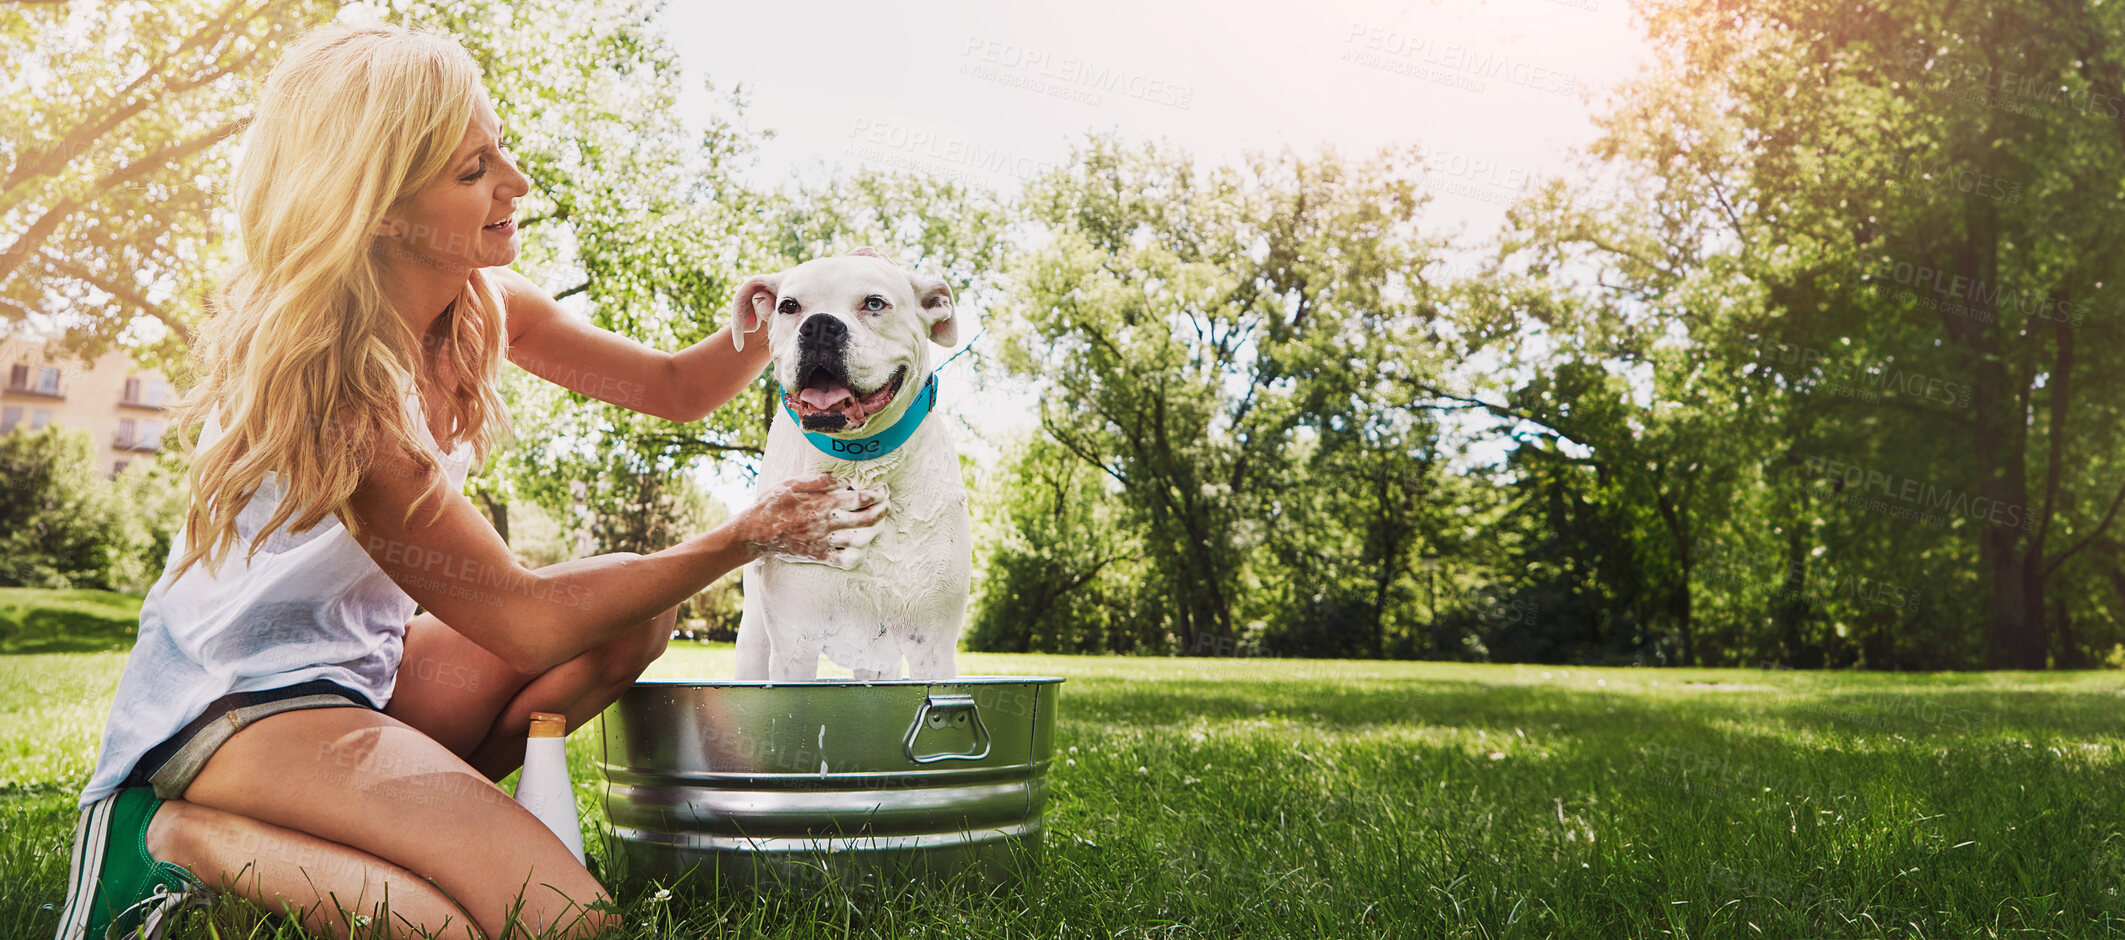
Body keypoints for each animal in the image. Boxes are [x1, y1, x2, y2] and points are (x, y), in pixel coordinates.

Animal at [726, 245, 969, 680]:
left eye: (874, 303)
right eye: (789, 306)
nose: (820, 326)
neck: (859, 460)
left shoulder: (934, 650)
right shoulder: (794, 647)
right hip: (754, 640)